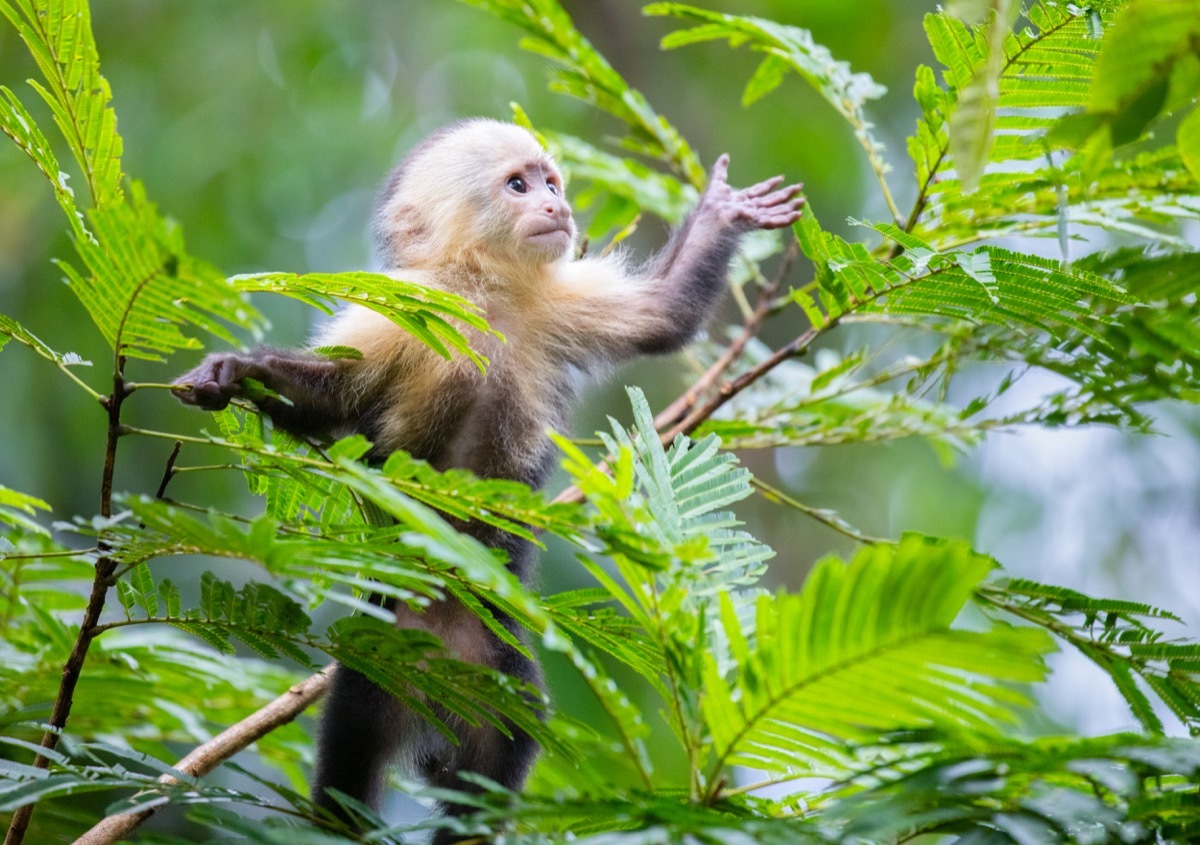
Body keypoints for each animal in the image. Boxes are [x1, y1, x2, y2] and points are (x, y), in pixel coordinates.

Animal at [172, 119, 804, 839]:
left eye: (551, 182)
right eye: (519, 185)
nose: (556, 206)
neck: (486, 296)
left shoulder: (555, 301)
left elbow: (662, 316)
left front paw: (724, 210)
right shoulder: (403, 312)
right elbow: (331, 400)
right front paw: (238, 373)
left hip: (493, 665)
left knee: (500, 744)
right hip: (380, 655)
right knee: (354, 743)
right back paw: (343, 812)